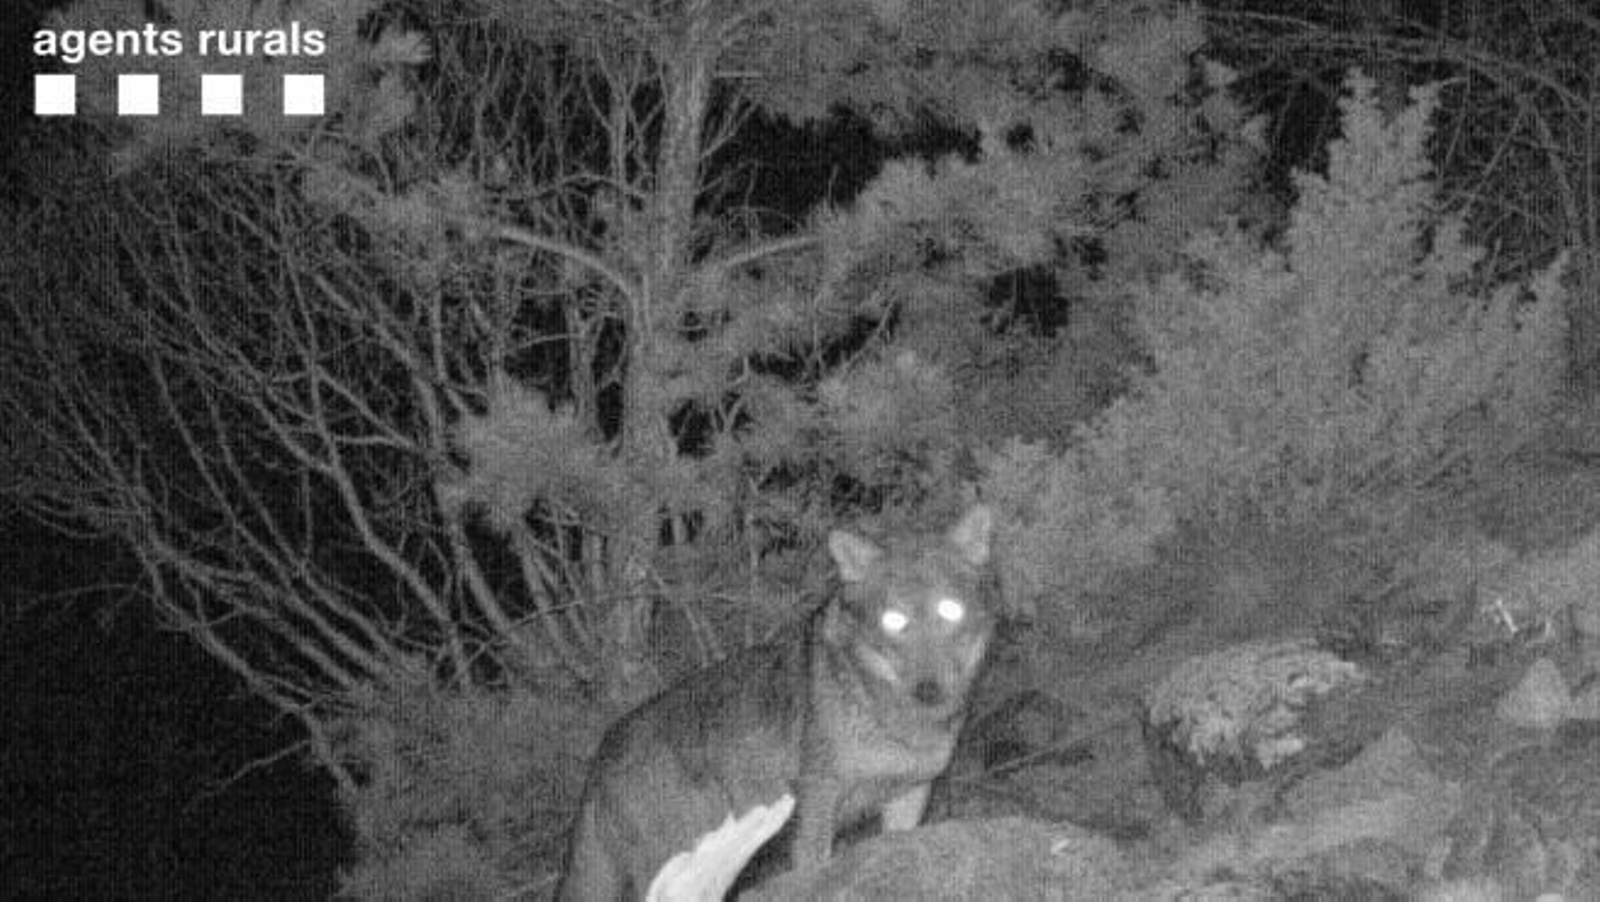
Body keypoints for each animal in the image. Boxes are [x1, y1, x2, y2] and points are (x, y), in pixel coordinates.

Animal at [556, 504, 997, 900]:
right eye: (894, 621)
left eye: (950, 610)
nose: (929, 689)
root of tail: (602, 752)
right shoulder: (817, 804)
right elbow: (814, 871)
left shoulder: (911, 795)